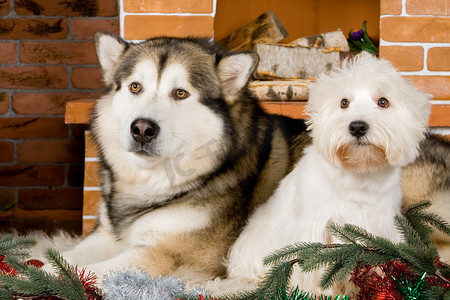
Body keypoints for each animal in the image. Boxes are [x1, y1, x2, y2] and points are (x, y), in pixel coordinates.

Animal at [227, 52, 430, 296]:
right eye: (344, 102)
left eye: (383, 102)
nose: (357, 127)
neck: (359, 176)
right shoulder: (316, 230)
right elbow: (315, 267)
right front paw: (322, 292)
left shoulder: (383, 229)